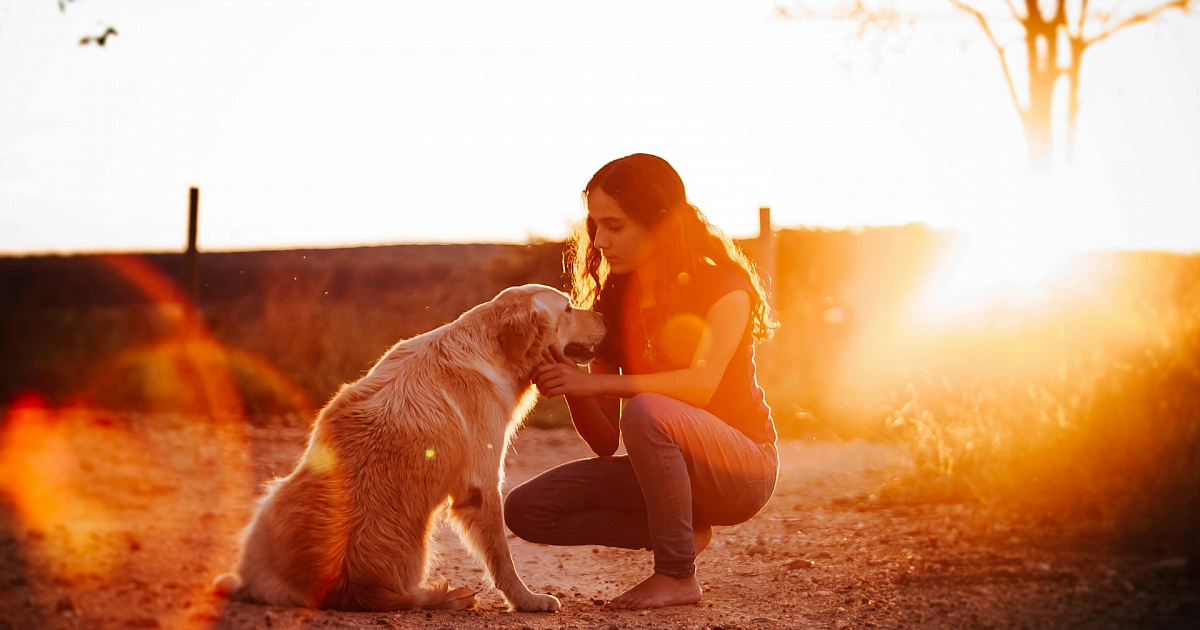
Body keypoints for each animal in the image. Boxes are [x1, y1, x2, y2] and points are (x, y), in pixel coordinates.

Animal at [212, 283, 604, 609]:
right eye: (568, 308)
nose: (604, 316)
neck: (491, 346)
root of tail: (348, 587)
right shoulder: (481, 485)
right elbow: (502, 557)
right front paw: (527, 600)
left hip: (273, 497)